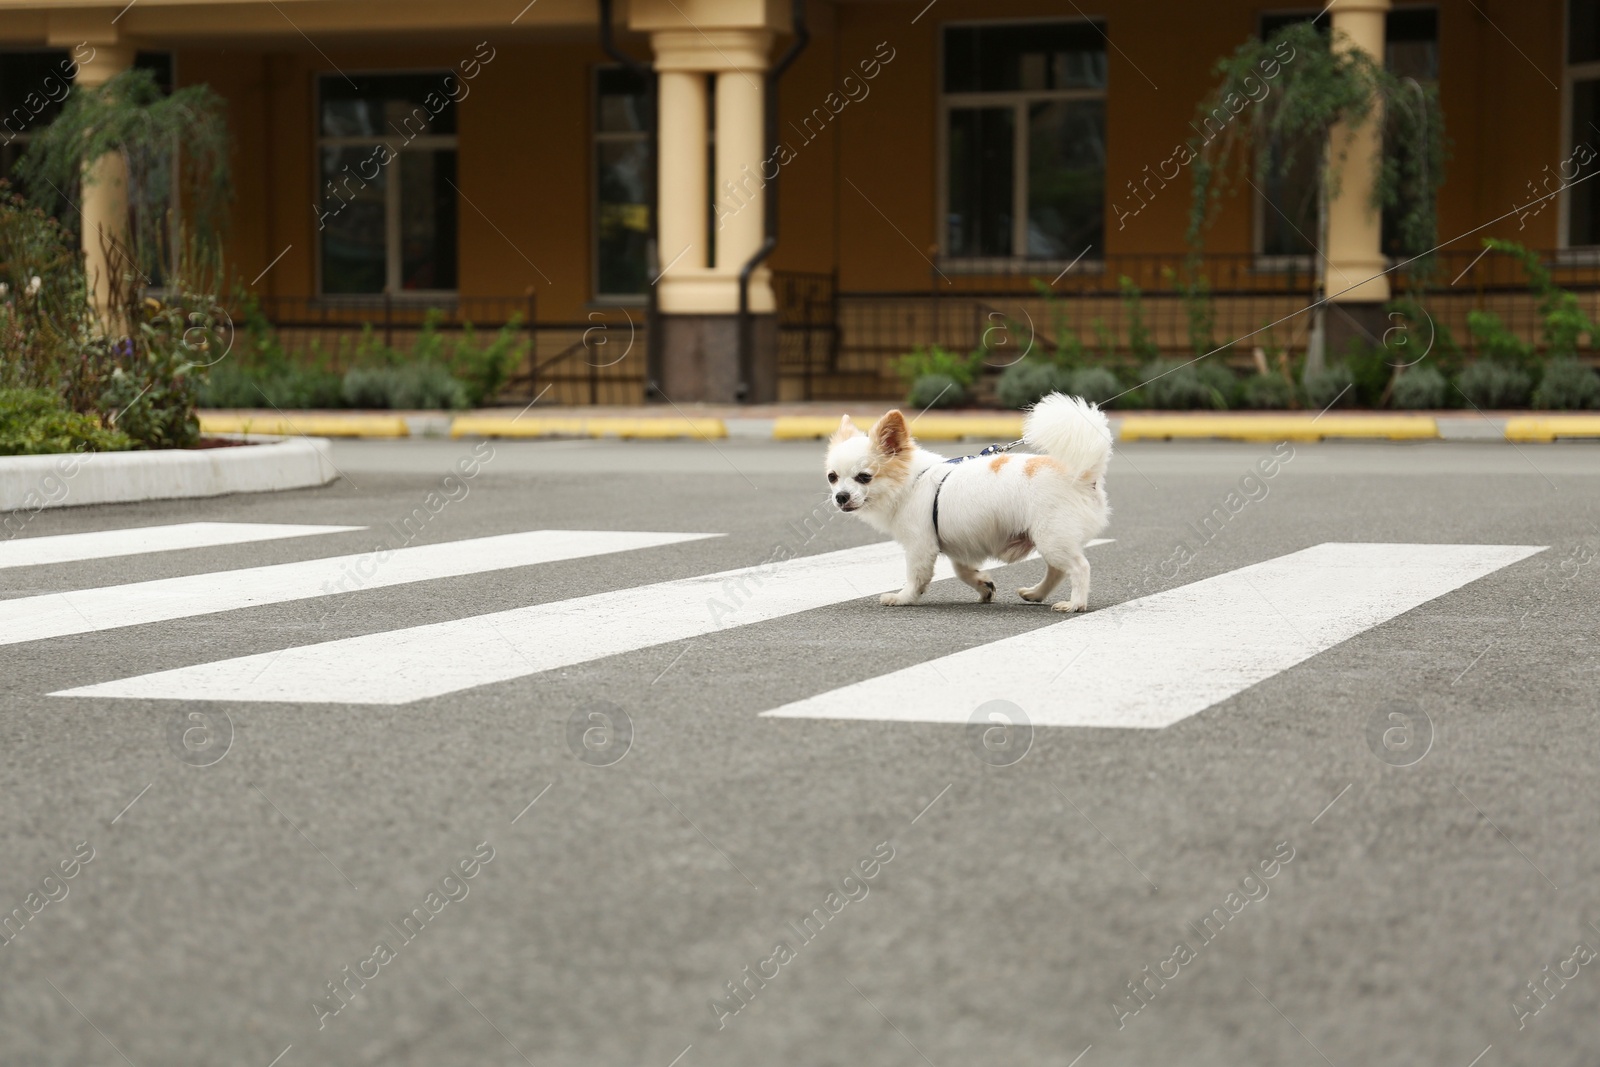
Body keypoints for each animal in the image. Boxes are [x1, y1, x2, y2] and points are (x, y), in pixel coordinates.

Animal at [825, 391, 1113, 607]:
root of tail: (1084, 476)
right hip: (1050, 540)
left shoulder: (921, 546)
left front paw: (903, 598)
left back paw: (1075, 604)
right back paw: (1035, 593)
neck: (912, 481)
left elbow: (916, 577)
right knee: (1057, 570)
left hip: (1052, 538)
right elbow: (962, 571)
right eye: (832, 477)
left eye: (864, 477)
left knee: (1079, 567)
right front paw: (983, 585)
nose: (841, 497)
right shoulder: (957, 543)